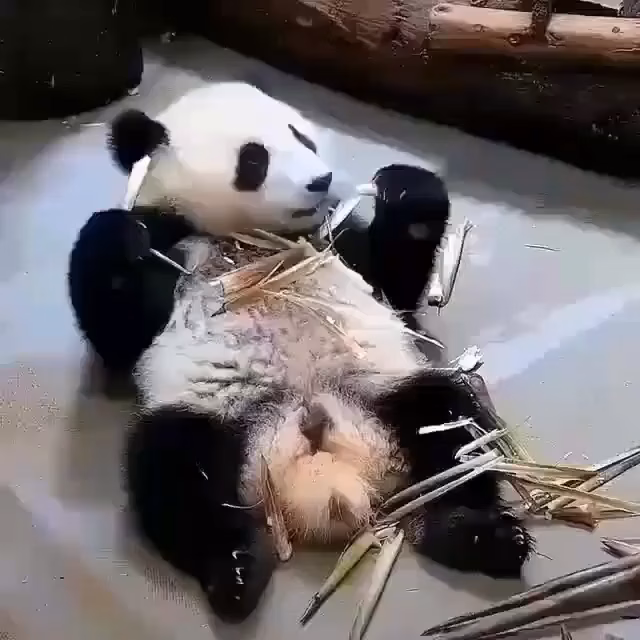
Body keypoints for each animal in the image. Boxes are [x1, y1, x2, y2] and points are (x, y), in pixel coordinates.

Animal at [67, 81, 533, 623]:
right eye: (253, 160)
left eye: (302, 136)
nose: (321, 180)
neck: (253, 244)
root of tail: (325, 474)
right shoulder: (175, 250)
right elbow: (118, 334)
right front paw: (117, 235)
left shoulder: (337, 246)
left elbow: (393, 282)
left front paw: (406, 189)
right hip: (222, 424)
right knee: (173, 467)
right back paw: (235, 570)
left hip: (384, 393)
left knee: (450, 425)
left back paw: (476, 533)